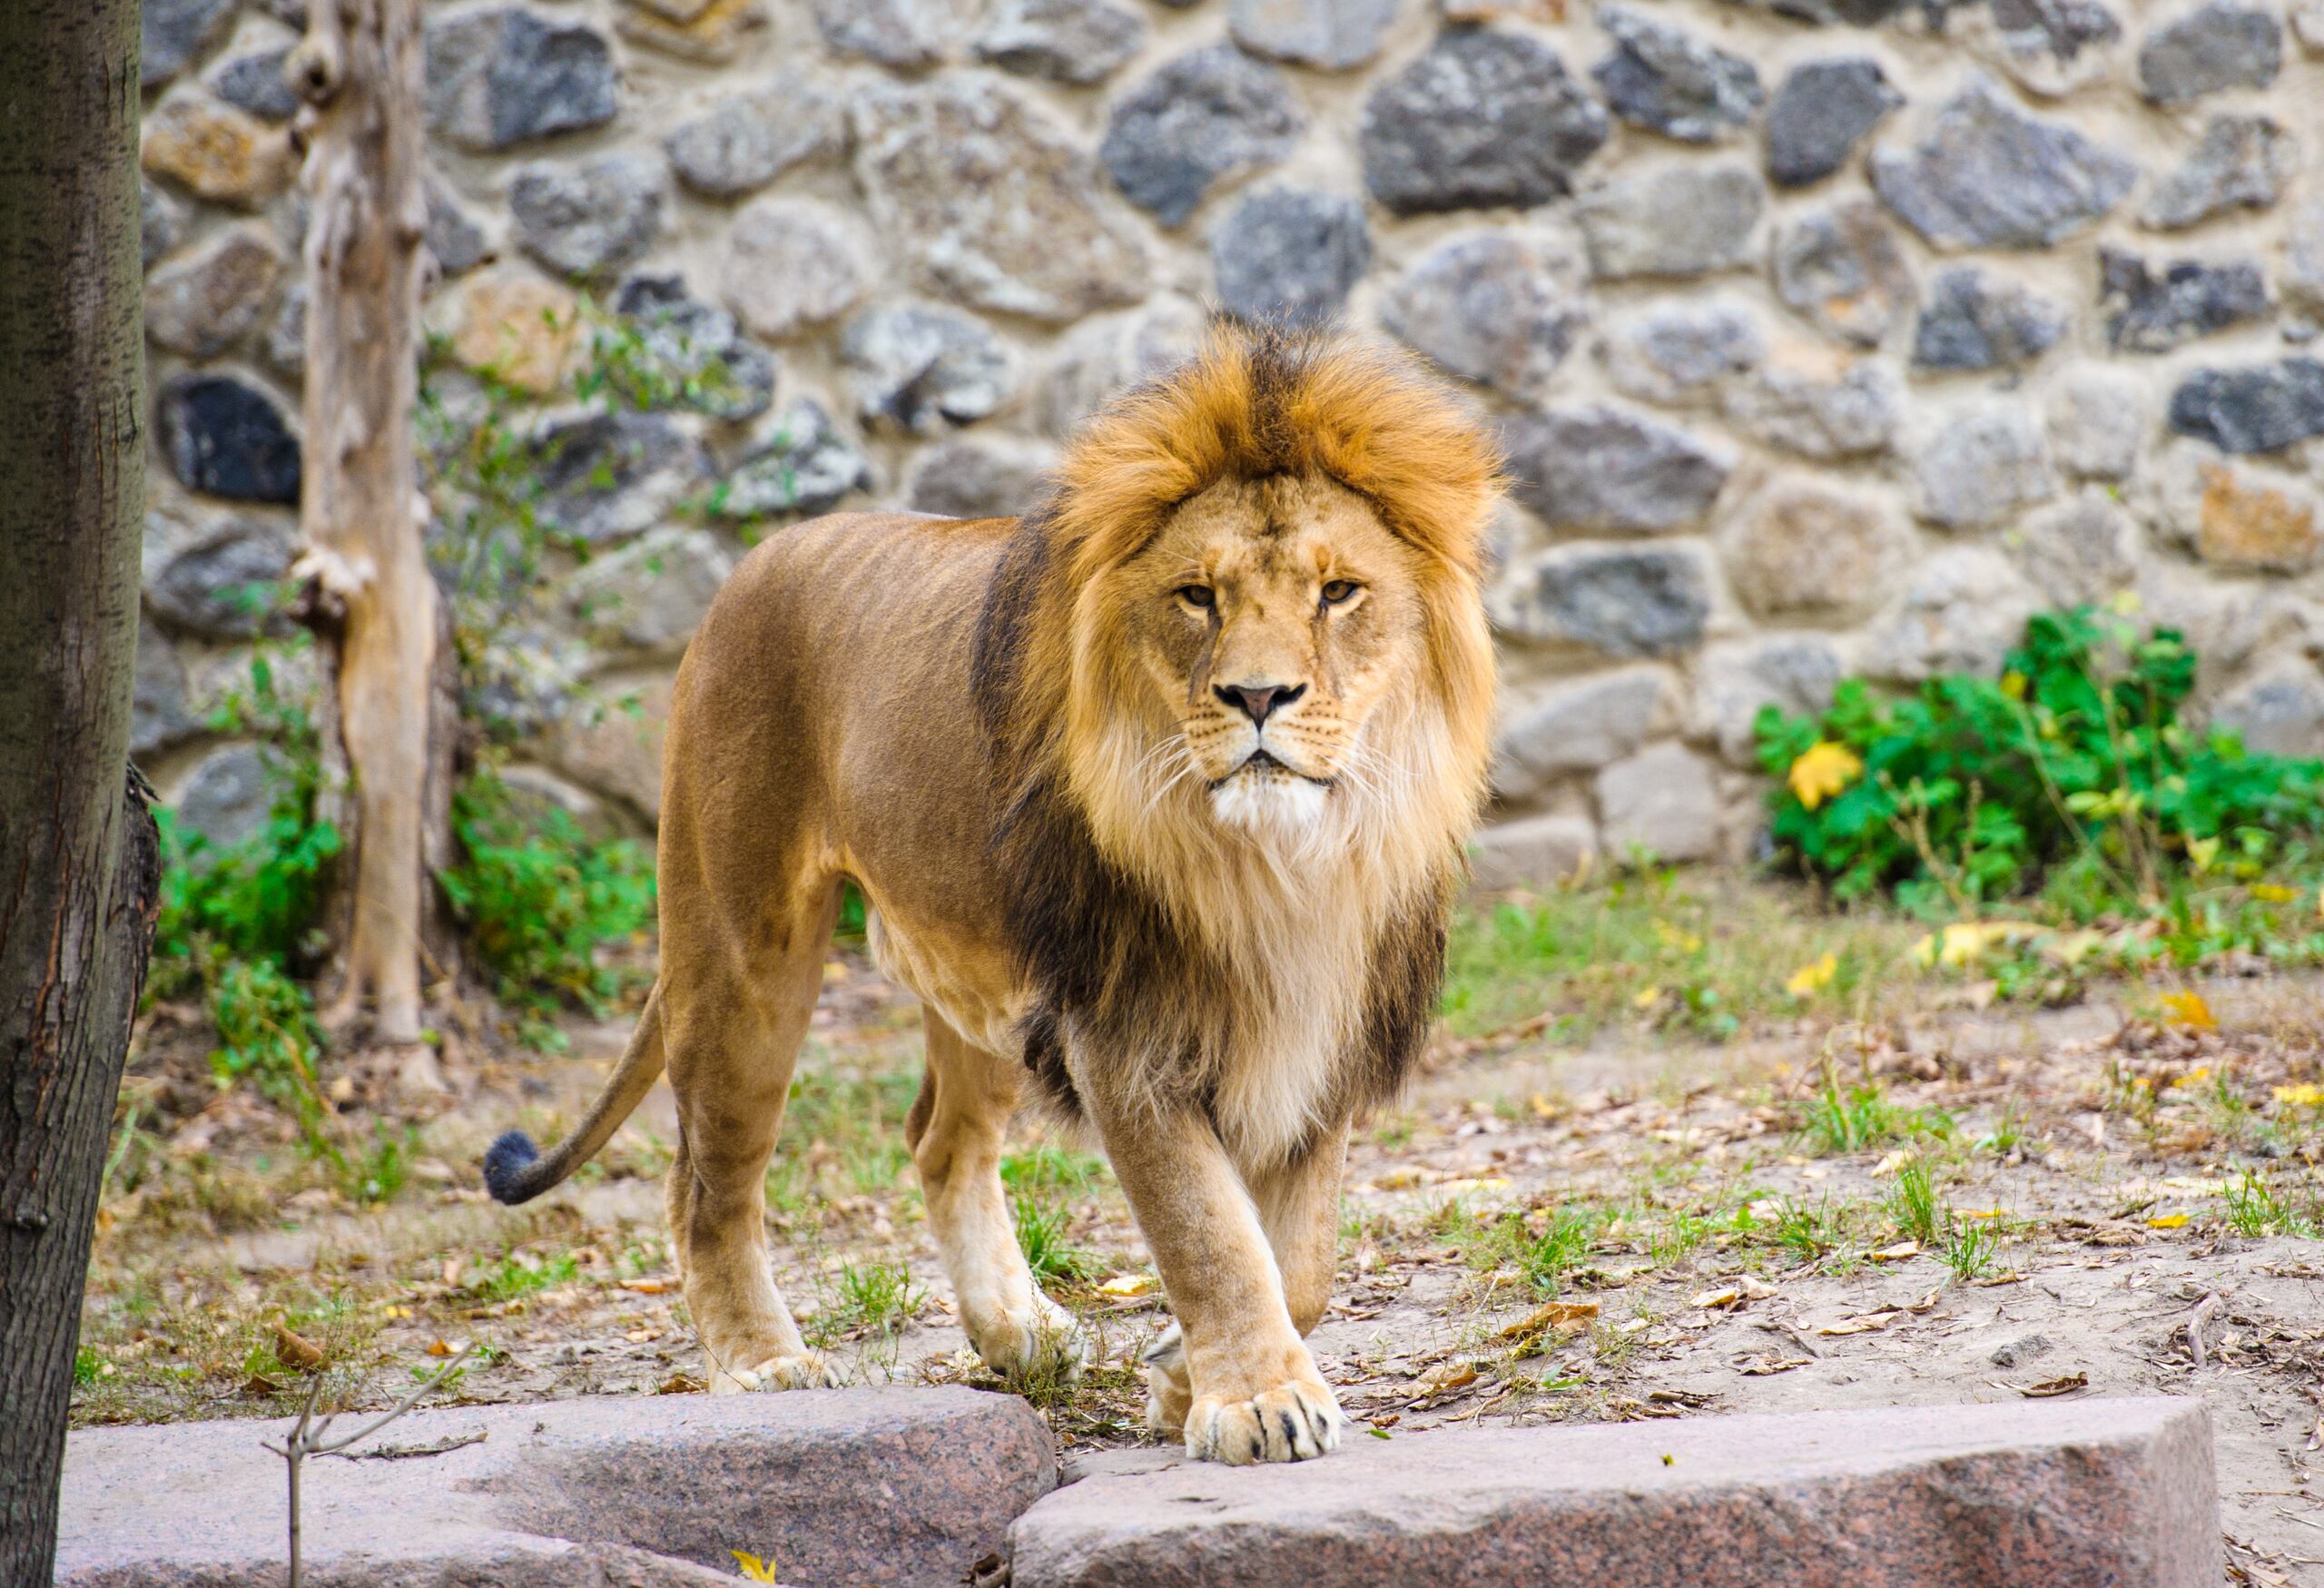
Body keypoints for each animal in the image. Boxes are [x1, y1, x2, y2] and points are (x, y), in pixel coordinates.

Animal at [481, 321, 1501, 1465]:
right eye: (1197, 596)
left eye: (1338, 593)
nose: (1256, 696)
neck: (1278, 867)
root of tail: (750, 568)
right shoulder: (1121, 1023)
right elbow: (1207, 1229)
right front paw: (1253, 1399)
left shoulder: (1328, 1016)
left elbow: (1304, 1259)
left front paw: (1177, 1375)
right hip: (742, 951)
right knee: (708, 1182)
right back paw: (761, 1362)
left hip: (980, 975)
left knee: (939, 1141)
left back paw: (1018, 1333)